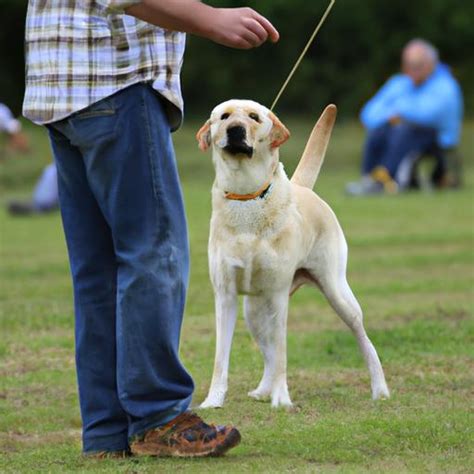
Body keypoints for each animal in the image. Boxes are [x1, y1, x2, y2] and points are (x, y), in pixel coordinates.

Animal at [195, 100, 388, 408]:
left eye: (254, 117)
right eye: (223, 116)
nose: (235, 130)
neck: (246, 196)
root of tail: (302, 187)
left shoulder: (277, 295)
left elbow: (283, 352)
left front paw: (282, 400)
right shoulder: (225, 296)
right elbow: (221, 359)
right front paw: (213, 401)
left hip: (338, 294)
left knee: (363, 338)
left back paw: (379, 388)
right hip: (253, 311)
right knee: (268, 353)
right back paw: (263, 390)